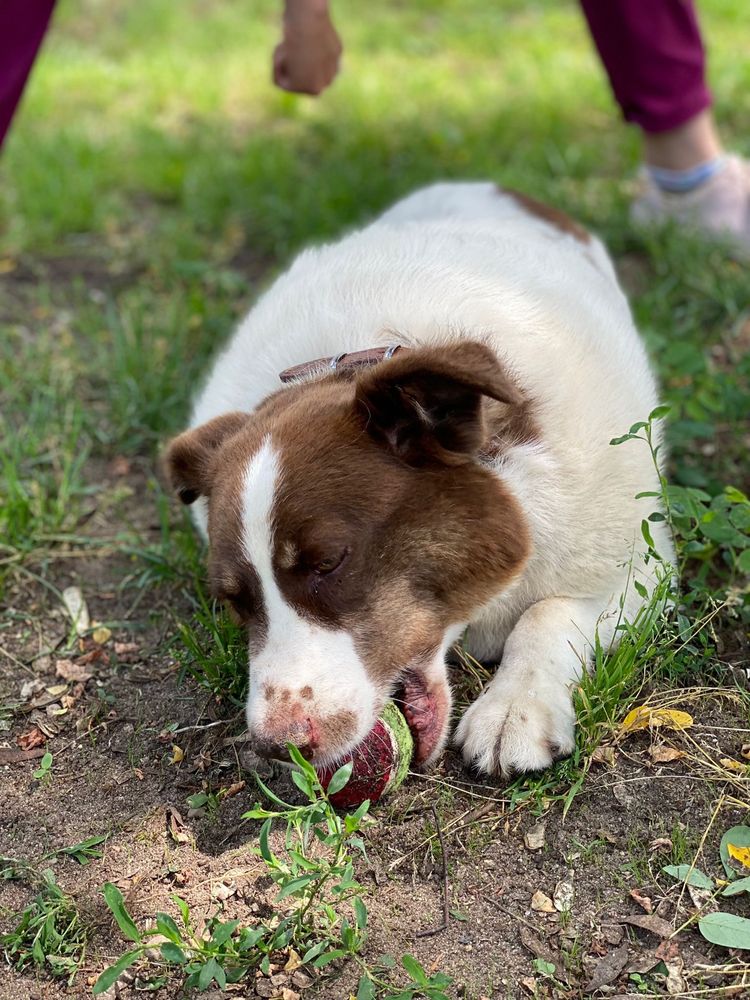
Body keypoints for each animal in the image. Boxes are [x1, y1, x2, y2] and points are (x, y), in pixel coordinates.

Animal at [166, 186, 676, 780]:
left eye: (329, 563)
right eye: (233, 600)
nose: (276, 746)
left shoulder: (642, 571)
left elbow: (546, 613)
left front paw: (515, 709)